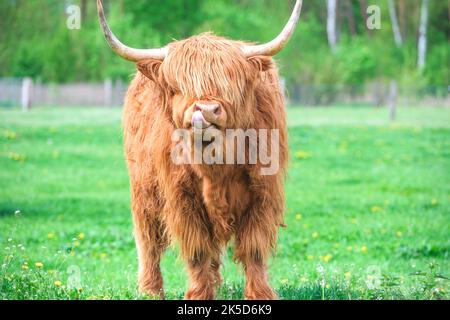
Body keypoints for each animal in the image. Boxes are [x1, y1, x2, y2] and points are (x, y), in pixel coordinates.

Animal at [97, 0, 302, 300]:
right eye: (178, 86)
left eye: (230, 84)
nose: (205, 109)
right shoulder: (182, 199)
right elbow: (197, 250)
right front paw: (199, 294)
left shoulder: (263, 194)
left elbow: (253, 249)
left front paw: (259, 294)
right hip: (143, 190)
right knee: (148, 240)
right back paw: (150, 290)